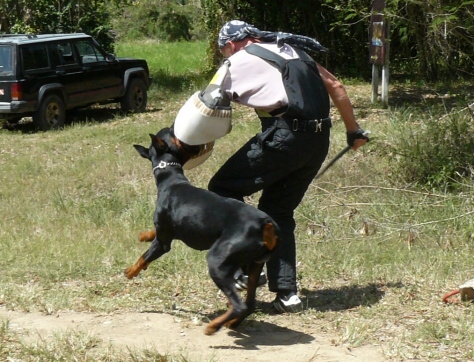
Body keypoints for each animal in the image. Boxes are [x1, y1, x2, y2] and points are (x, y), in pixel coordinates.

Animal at [126, 128, 280, 336]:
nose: (175, 129)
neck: (171, 180)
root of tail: (266, 225)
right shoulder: (169, 232)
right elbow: (153, 234)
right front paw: (144, 235)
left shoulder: (163, 243)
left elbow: (144, 257)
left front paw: (130, 272)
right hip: (255, 264)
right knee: (249, 303)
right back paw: (232, 323)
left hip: (217, 261)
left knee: (238, 304)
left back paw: (213, 326)